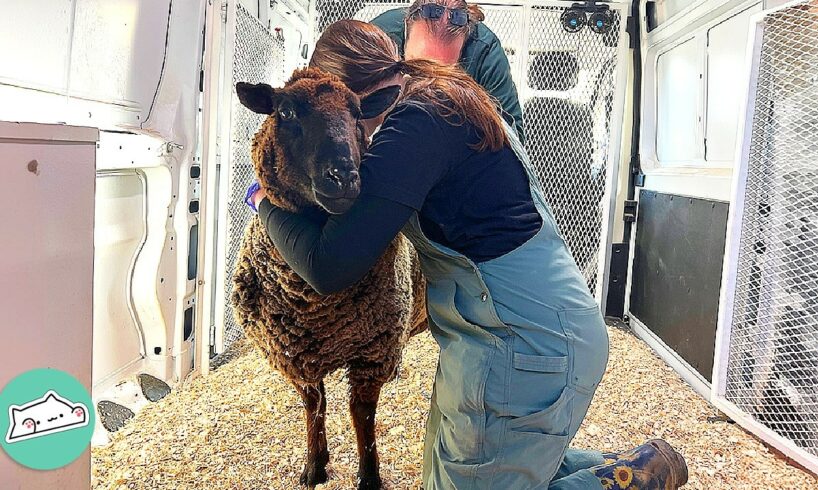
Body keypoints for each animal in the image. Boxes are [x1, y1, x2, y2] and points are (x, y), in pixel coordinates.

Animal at [228, 69, 424, 490]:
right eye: (286, 111)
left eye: (357, 113)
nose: (344, 177)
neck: (313, 304)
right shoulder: (293, 355)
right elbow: (313, 405)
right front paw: (314, 467)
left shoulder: (372, 352)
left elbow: (361, 415)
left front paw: (369, 477)